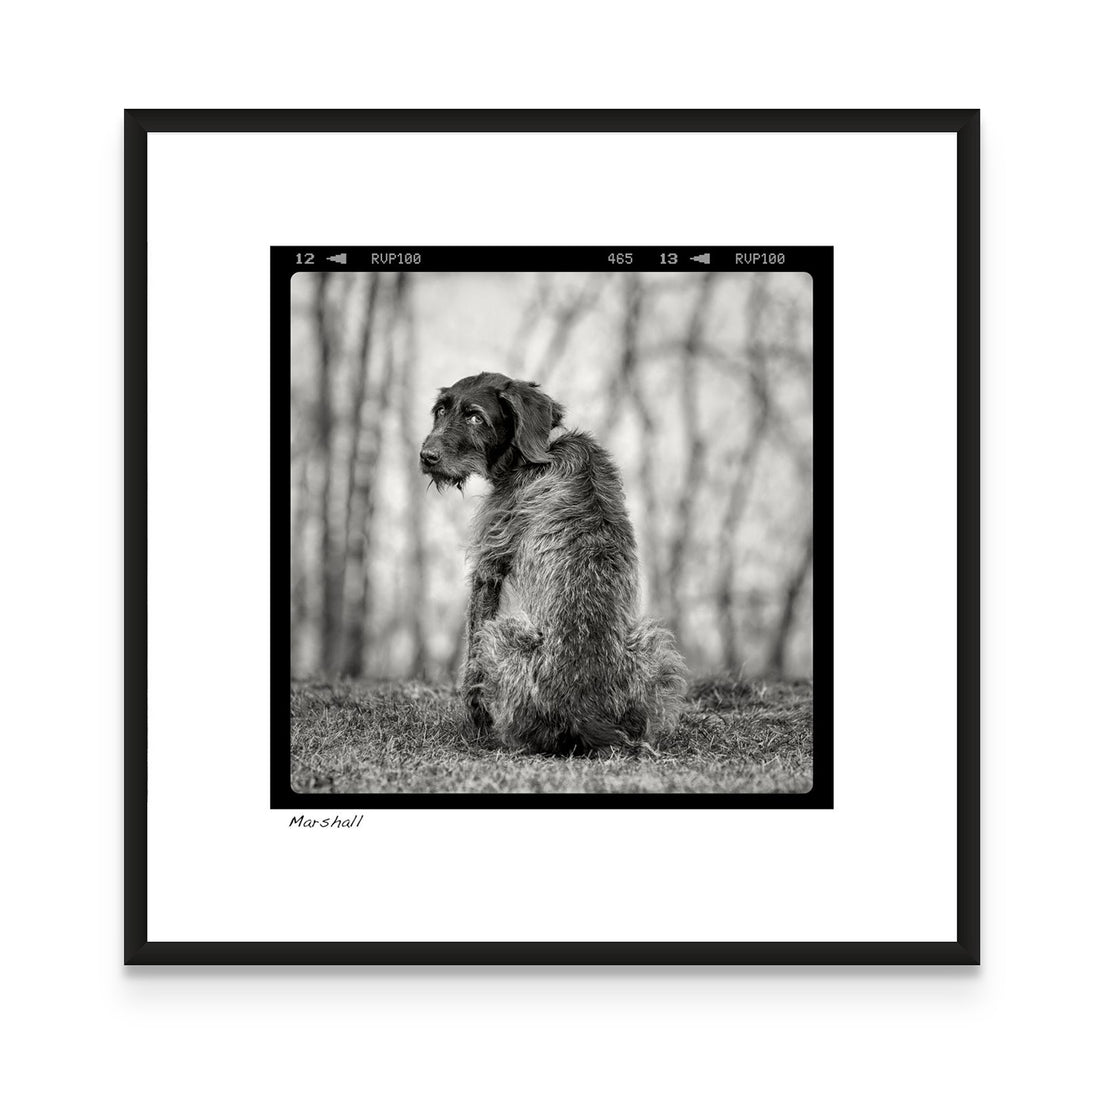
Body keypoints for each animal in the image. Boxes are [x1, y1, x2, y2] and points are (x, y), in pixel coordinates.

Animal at [420, 374, 686, 752]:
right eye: (441, 411)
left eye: (475, 417)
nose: (426, 456)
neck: (531, 457)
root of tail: (585, 715)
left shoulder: (489, 565)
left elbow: (470, 658)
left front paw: (474, 722)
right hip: (655, 644)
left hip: (503, 634)